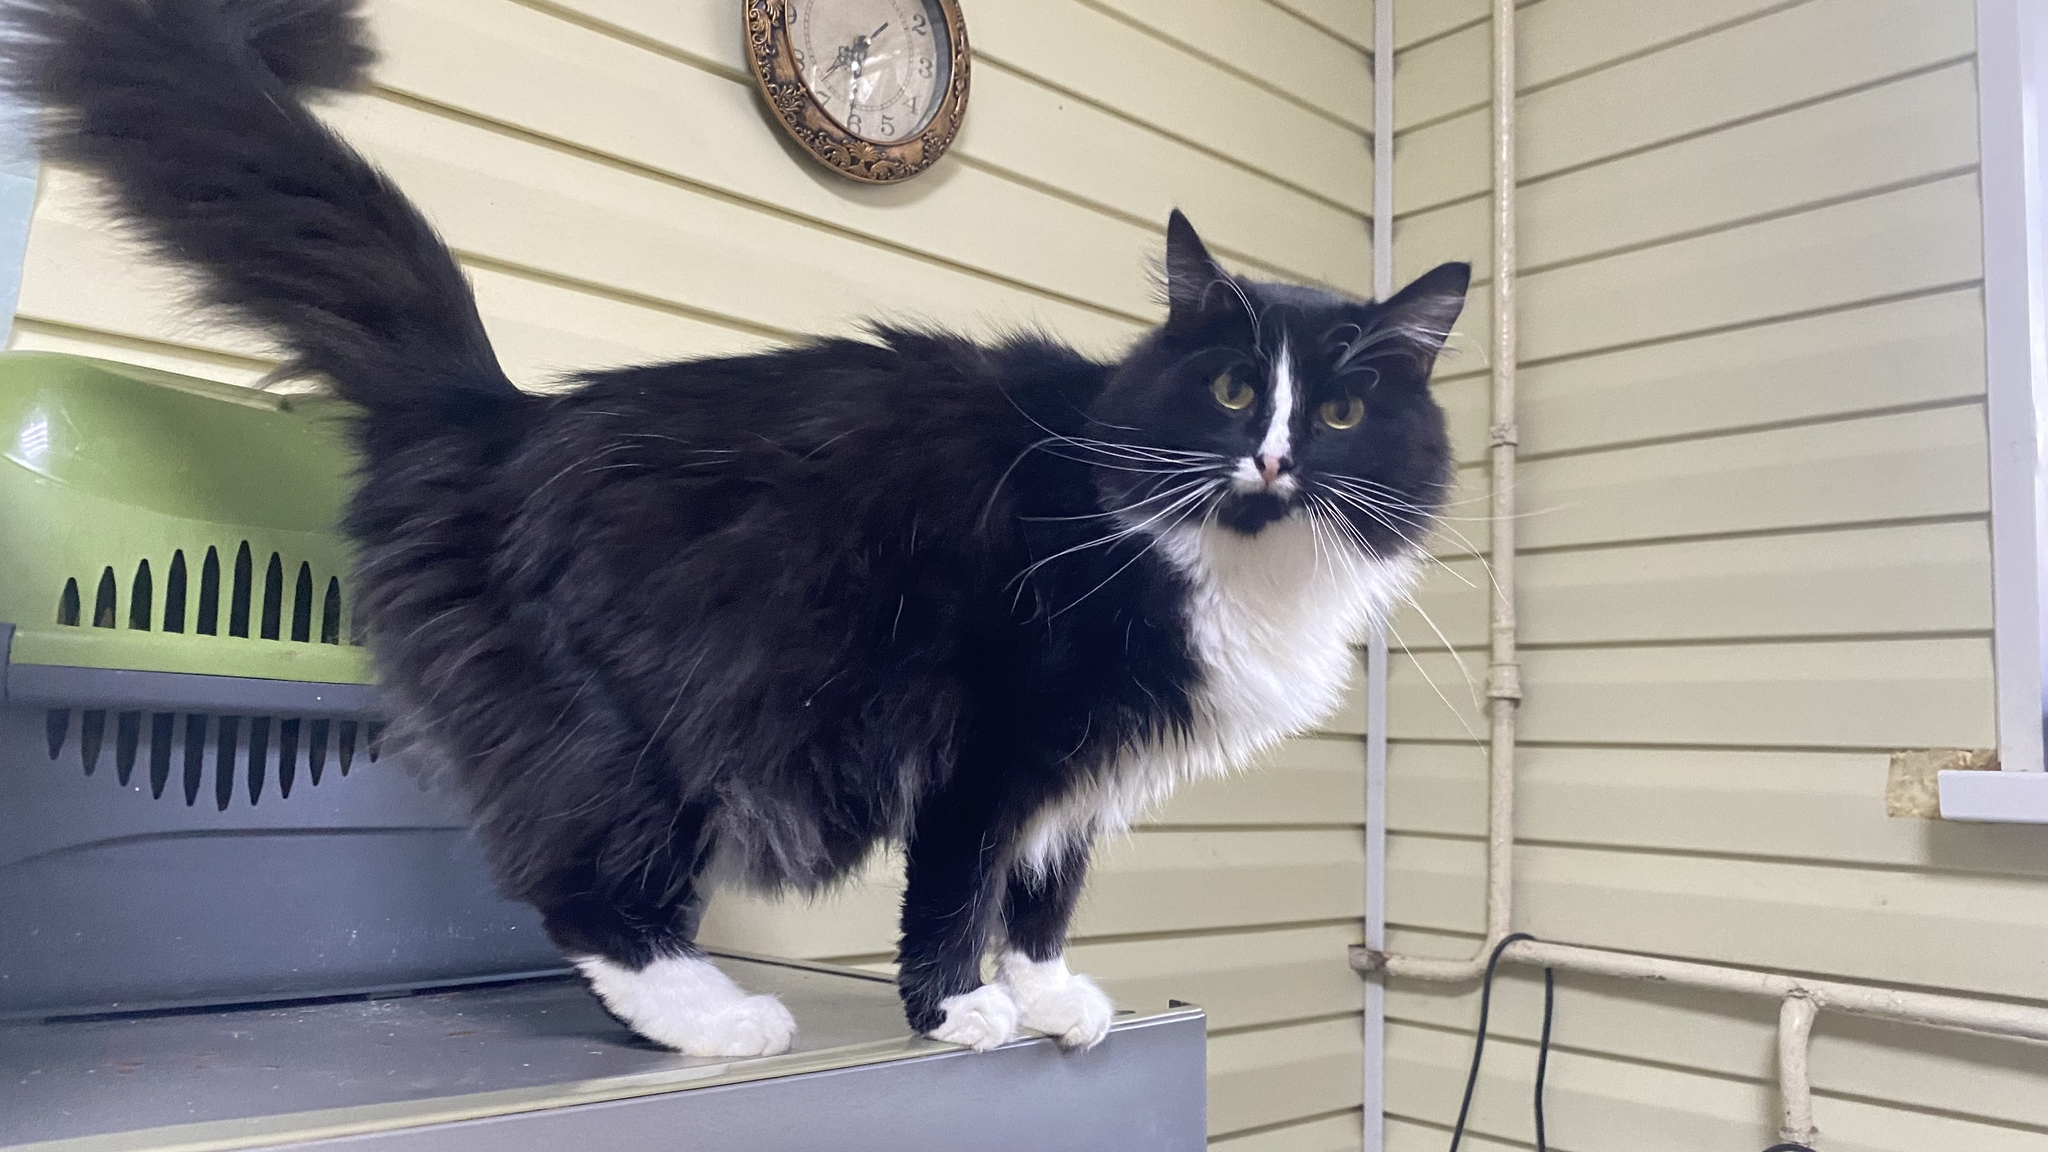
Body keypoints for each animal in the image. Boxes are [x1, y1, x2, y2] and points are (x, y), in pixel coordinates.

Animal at [4, 0, 1474, 1057]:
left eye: (1341, 409)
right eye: (1229, 391)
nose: (1272, 456)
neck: (1223, 554)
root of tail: (502, 415)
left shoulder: (1085, 772)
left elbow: (1043, 891)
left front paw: (1052, 994)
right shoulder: (999, 729)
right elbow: (960, 879)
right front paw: (959, 1011)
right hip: (630, 720)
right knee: (578, 880)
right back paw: (713, 1019)